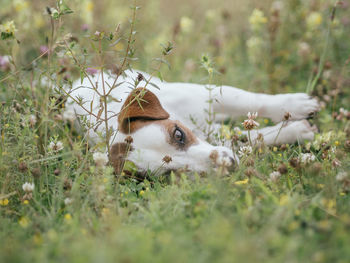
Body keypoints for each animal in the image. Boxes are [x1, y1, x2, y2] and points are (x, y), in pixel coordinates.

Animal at [65, 70, 320, 173]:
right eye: (172, 173)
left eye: (178, 134)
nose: (228, 165)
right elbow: (252, 139)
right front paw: (296, 131)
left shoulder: (206, 95)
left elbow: (254, 101)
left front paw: (295, 105)